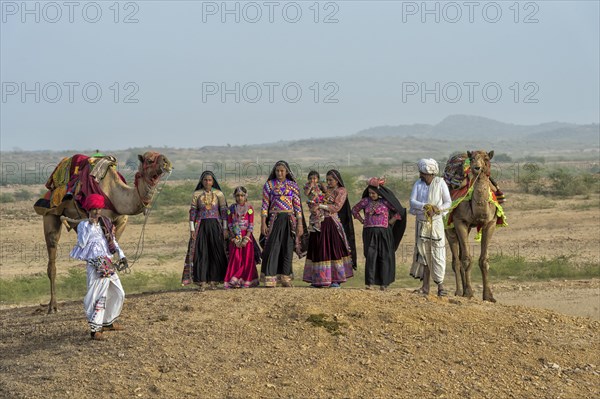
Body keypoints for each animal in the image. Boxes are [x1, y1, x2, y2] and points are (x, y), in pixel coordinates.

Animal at [34, 152, 172, 314]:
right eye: (150, 160)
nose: (167, 162)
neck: (116, 194)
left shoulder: (121, 221)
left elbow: (112, 256)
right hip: (50, 213)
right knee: (52, 256)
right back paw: (53, 306)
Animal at [442, 151, 504, 304]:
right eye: (472, 159)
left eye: (486, 158)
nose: (477, 168)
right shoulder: (460, 222)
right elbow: (466, 259)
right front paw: (469, 292)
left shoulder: (490, 223)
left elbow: (484, 260)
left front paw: (488, 296)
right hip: (449, 227)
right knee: (456, 260)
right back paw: (459, 291)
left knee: (459, 256)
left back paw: (463, 290)